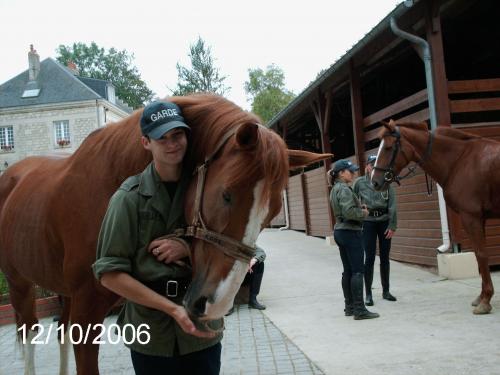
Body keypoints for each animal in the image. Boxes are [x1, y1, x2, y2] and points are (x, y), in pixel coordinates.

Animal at [0, 92, 332, 374]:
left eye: (272, 212)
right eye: (226, 195)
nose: (218, 304)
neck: (107, 186)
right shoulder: (86, 310)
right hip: (19, 283)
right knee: (28, 333)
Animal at [372, 120, 500, 314]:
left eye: (387, 147)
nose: (374, 182)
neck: (459, 160)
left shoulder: (471, 217)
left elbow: (481, 254)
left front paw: (485, 300)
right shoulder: (480, 218)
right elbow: (480, 256)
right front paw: (481, 297)